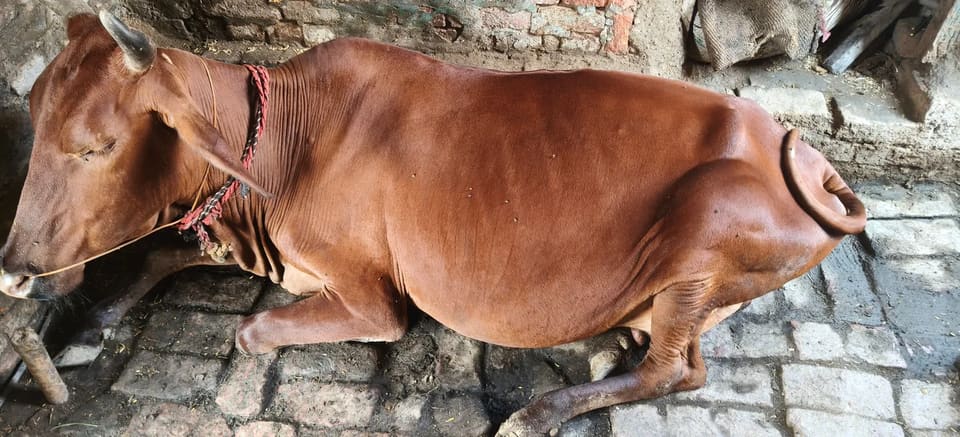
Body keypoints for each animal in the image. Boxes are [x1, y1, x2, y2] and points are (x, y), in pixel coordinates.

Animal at [0, 12, 866, 435]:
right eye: (32, 111)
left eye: (96, 145)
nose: (12, 268)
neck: (282, 155)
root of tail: (807, 156)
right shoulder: (249, 236)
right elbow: (156, 255)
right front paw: (72, 330)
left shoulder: (372, 297)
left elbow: (248, 331)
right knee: (674, 354)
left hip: (705, 227)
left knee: (680, 371)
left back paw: (539, 412)